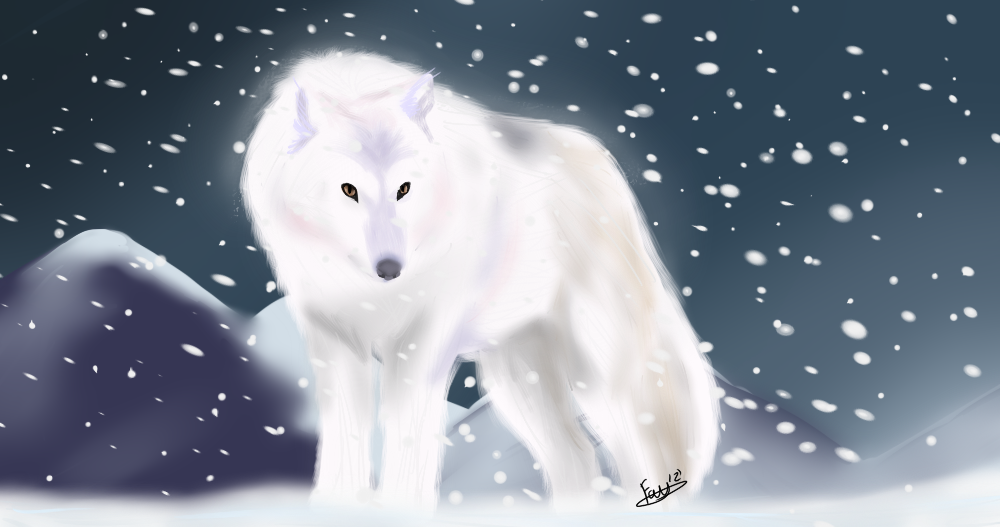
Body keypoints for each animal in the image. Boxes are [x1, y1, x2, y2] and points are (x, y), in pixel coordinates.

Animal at [241, 49, 719, 513]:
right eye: (348, 190)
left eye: (404, 189)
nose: (390, 269)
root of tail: (602, 160)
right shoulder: (333, 336)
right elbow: (346, 428)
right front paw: (337, 505)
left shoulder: (421, 340)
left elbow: (409, 430)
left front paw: (398, 507)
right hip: (517, 376)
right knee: (578, 456)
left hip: (599, 368)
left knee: (644, 452)